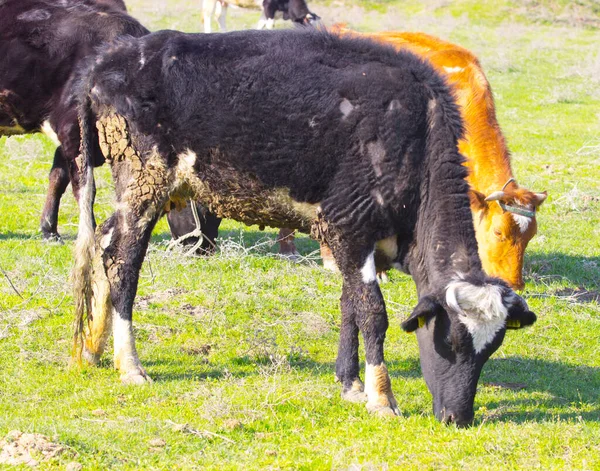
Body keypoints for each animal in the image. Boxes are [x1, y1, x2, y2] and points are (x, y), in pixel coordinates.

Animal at [72, 29, 536, 428]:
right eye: (451, 341)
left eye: (490, 351)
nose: (458, 417)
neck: (414, 133)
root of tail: (110, 59)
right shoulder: (349, 229)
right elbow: (373, 313)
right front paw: (381, 398)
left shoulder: (356, 242)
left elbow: (351, 306)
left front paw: (350, 384)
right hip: (144, 182)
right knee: (123, 262)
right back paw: (130, 364)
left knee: (103, 243)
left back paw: (93, 348)